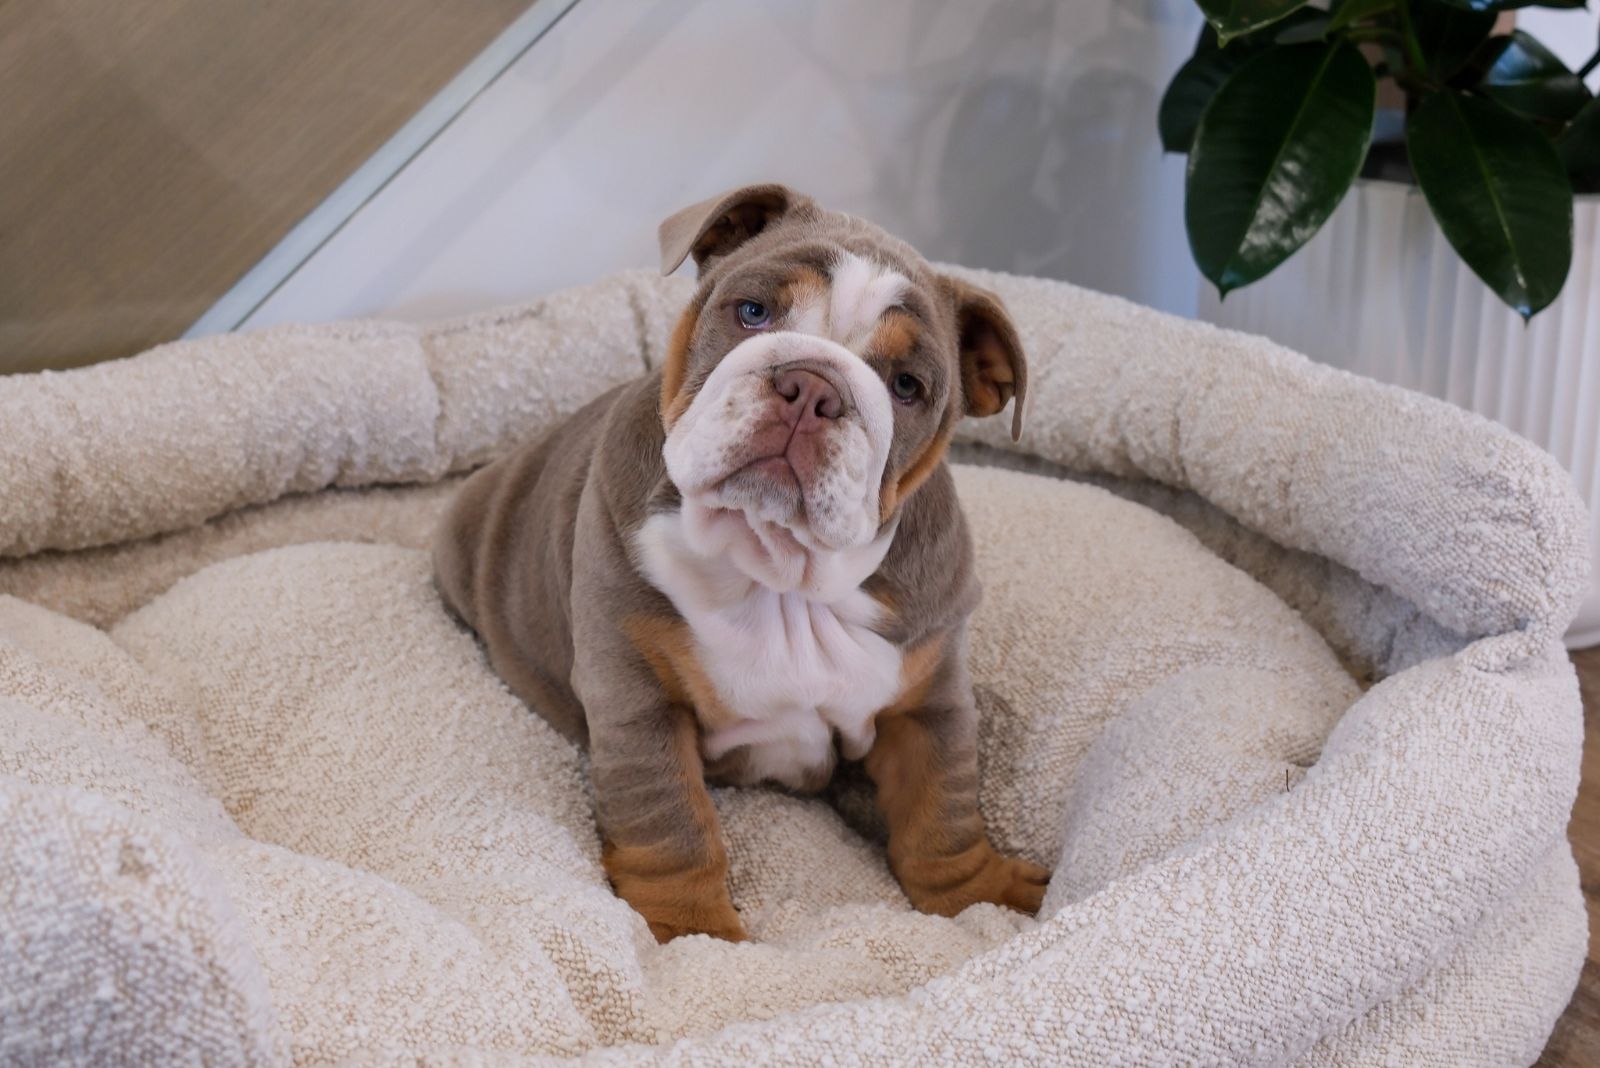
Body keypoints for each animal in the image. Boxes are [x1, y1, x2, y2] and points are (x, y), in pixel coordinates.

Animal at [432, 183, 1043, 940]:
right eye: (753, 312)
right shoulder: (638, 699)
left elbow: (943, 811)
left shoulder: (927, 704)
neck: (778, 569)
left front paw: (978, 896)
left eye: (906, 386)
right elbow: (670, 824)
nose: (813, 386)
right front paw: (693, 933)